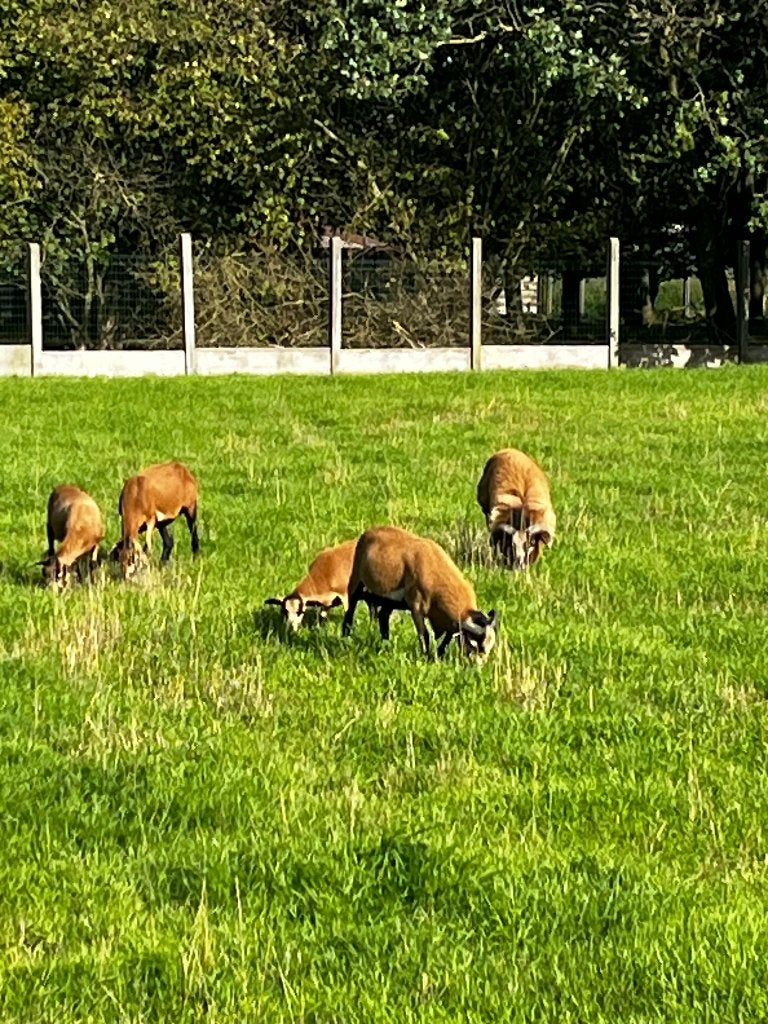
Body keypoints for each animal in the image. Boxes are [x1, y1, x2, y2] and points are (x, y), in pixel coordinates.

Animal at [342, 525, 497, 662]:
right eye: (475, 645)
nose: (478, 668)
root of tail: (369, 532)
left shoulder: (449, 620)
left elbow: (448, 637)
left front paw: (439, 655)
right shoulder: (416, 607)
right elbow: (424, 634)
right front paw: (426, 656)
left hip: (390, 601)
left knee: (383, 616)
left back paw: (385, 643)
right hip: (356, 580)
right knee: (351, 609)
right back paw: (345, 636)